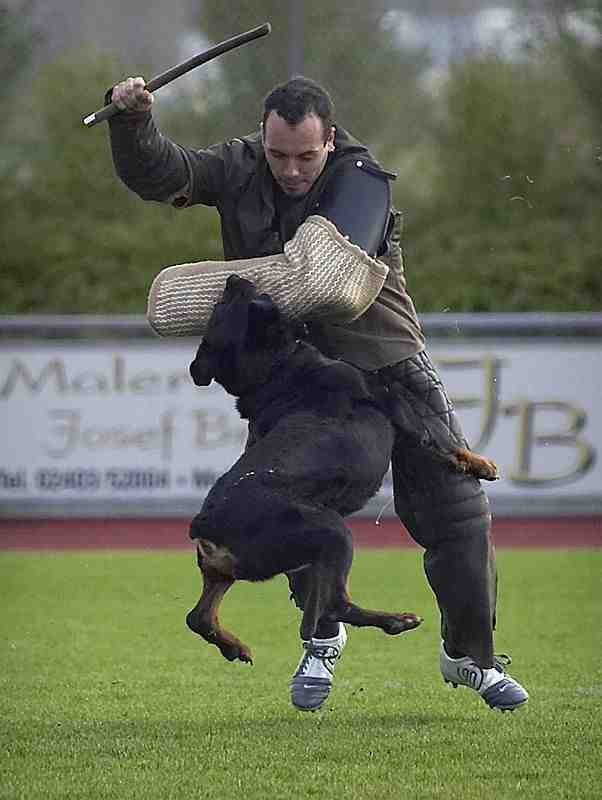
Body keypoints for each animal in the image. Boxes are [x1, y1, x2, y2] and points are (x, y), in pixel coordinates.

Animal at [183, 276, 422, 664]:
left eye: (220, 306)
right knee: (334, 606)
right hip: (335, 532)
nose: (233, 278)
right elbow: (447, 445)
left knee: (198, 616)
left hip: (224, 570)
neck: (274, 371)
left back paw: (233, 646)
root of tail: (206, 523)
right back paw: (397, 620)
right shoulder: (394, 406)